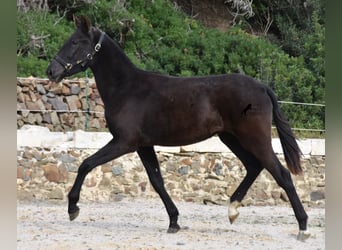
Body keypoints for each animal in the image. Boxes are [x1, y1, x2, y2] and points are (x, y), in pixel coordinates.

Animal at [46, 15, 310, 240]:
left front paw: (72, 207)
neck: (127, 89)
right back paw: (232, 210)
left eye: (76, 42)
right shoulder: (143, 145)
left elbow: (86, 164)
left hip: (254, 138)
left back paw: (303, 227)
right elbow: (157, 181)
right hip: (231, 137)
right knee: (254, 167)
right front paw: (174, 221)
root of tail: (262, 87)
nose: (51, 71)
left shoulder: (124, 142)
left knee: (282, 174)